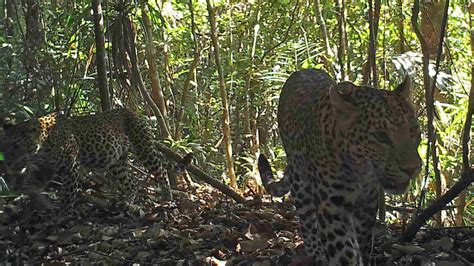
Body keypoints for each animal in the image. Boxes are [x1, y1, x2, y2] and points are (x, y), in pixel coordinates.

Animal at [1, 107, 193, 213]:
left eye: (16, 146)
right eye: (5, 145)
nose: (7, 164)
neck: (42, 146)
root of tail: (134, 111)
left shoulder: (70, 166)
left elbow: (68, 194)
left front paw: (63, 214)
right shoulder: (44, 168)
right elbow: (32, 185)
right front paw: (37, 203)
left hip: (144, 148)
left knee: (161, 172)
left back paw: (167, 199)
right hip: (117, 161)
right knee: (132, 183)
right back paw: (127, 203)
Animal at [260, 69, 422, 266]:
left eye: (414, 131)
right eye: (380, 136)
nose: (413, 169)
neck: (360, 170)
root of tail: (303, 70)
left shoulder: (368, 204)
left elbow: (363, 241)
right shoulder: (332, 207)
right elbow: (344, 252)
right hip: (300, 182)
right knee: (307, 220)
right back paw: (316, 253)